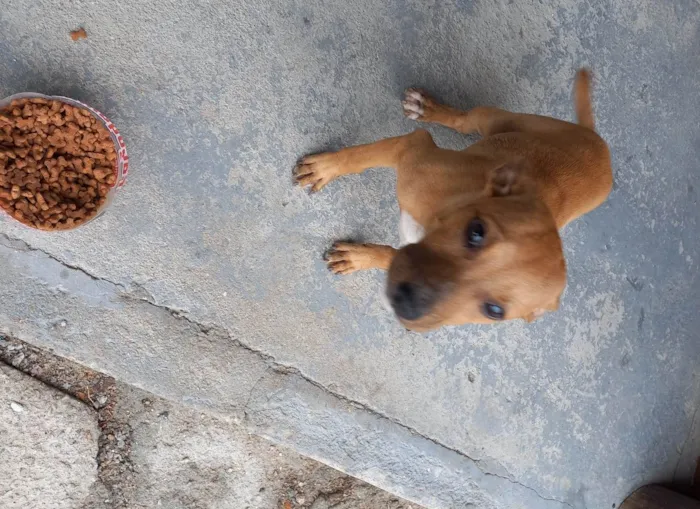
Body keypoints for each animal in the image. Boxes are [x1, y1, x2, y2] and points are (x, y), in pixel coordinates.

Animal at [296, 71, 612, 332]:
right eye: (476, 232)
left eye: (494, 311)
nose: (407, 303)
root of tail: (598, 140)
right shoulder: (414, 146)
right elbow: (359, 156)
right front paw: (327, 167)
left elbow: (391, 254)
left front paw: (358, 257)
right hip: (495, 118)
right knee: (464, 121)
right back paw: (429, 108)